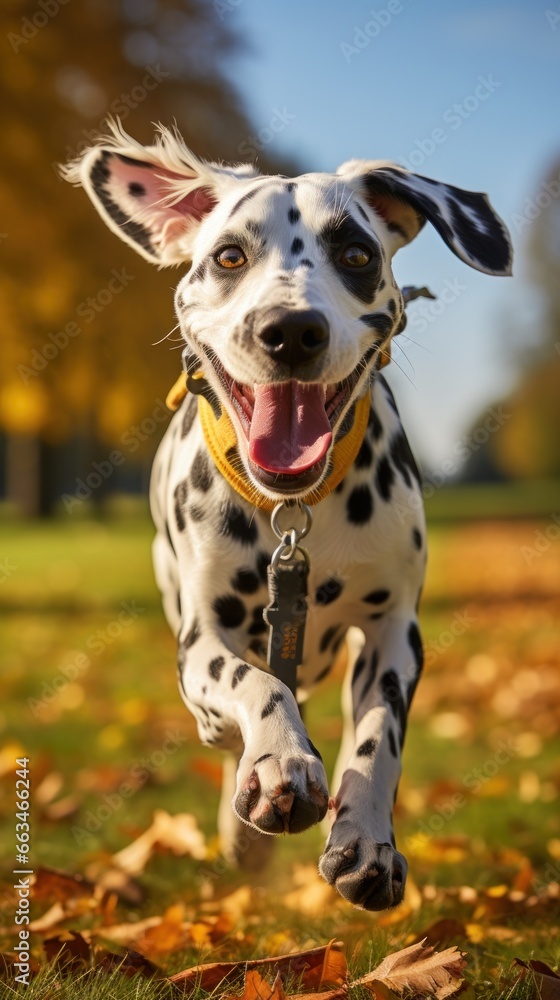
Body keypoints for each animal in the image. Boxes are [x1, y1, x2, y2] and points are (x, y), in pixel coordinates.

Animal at [65, 121, 512, 912]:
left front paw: (367, 839)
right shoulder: (201, 640)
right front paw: (279, 762)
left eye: (357, 253)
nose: (292, 329)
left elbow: (377, 737)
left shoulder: (394, 632)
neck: (296, 511)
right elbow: (257, 684)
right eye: (229, 255)